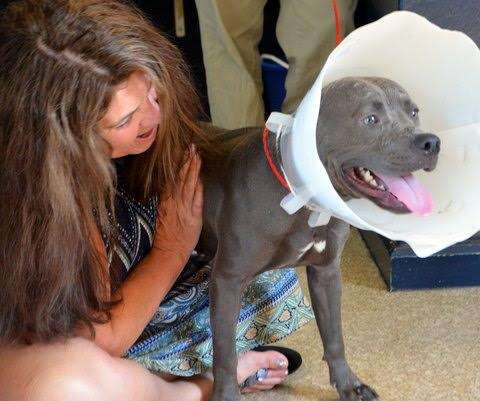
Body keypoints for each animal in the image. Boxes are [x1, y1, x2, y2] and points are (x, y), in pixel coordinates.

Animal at [197, 76, 440, 400]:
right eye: (370, 119)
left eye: (414, 112)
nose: (431, 142)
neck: (300, 196)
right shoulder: (227, 280)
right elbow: (225, 353)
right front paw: (226, 394)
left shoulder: (326, 273)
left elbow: (334, 335)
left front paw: (349, 384)